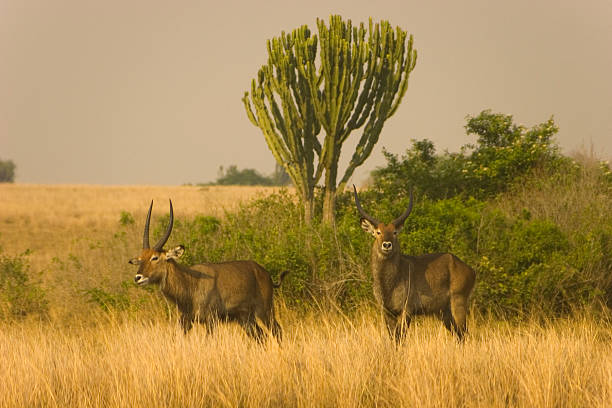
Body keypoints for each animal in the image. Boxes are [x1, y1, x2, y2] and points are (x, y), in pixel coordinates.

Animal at [127, 201, 290, 342]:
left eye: (155, 257)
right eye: (140, 259)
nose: (138, 277)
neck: (191, 282)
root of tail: (264, 273)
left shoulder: (211, 320)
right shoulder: (186, 320)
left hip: (265, 312)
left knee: (277, 330)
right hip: (245, 319)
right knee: (261, 336)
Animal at [352, 186, 476, 342]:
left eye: (394, 232)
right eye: (378, 232)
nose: (387, 244)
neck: (389, 284)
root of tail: (470, 269)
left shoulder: (406, 310)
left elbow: (400, 338)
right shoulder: (387, 312)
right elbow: (393, 338)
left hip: (458, 302)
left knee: (465, 334)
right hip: (444, 312)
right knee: (459, 335)